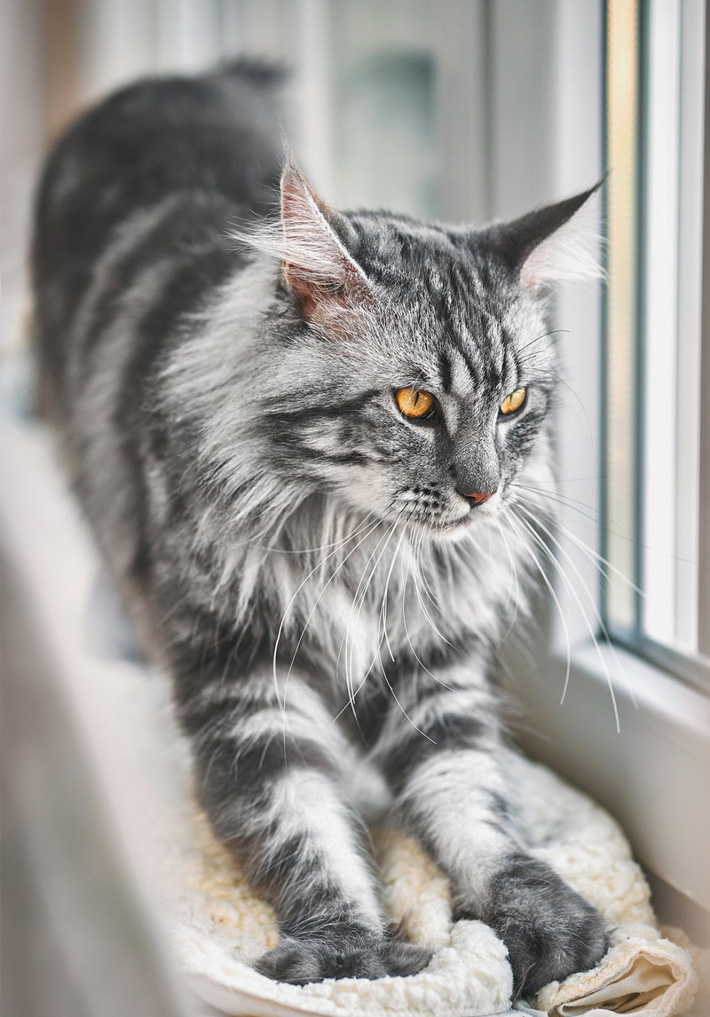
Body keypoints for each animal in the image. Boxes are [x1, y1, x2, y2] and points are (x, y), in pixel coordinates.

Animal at [33, 61, 606, 992]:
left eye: (515, 403)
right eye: (415, 404)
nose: (485, 493)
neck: (364, 552)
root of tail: (175, 79)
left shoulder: (434, 674)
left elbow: (476, 808)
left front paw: (548, 925)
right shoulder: (248, 687)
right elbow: (307, 833)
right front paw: (350, 957)